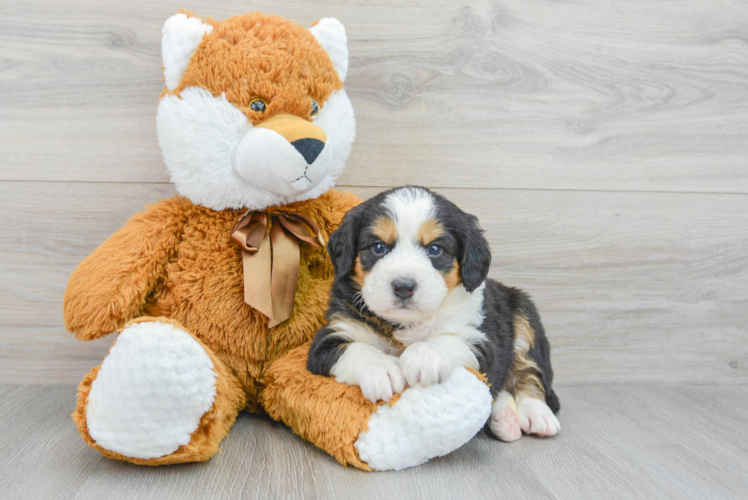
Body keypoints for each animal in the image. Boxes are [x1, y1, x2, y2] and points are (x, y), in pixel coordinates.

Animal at [306, 187, 560, 442]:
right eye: (378, 247)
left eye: (435, 249)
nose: (403, 286)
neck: (405, 324)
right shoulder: (329, 337)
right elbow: (358, 349)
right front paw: (381, 370)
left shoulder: (483, 341)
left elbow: (448, 341)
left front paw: (423, 357)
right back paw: (505, 418)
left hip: (524, 313)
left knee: (529, 373)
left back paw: (536, 414)